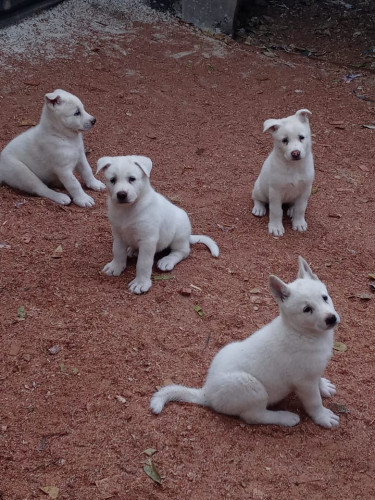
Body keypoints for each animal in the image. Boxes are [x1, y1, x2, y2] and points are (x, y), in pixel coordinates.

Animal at [97, 156, 220, 294]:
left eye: (132, 179)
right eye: (112, 180)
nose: (121, 194)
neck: (128, 209)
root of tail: (188, 236)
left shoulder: (148, 240)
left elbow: (143, 264)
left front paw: (141, 283)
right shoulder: (118, 234)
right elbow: (118, 252)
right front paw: (115, 267)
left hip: (179, 236)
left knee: (183, 251)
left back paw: (167, 260)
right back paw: (133, 250)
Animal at [151, 258, 342, 430]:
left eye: (325, 297)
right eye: (307, 309)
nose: (331, 318)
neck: (302, 332)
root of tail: (206, 392)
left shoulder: (313, 371)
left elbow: (318, 381)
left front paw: (324, 386)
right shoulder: (304, 382)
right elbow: (314, 402)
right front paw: (323, 417)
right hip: (252, 387)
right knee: (254, 416)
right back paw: (285, 417)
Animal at [251, 108, 316, 236]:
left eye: (301, 137)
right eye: (284, 140)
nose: (295, 153)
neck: (294, 167)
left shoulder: (305, 189)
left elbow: (301, 208)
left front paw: (299, 223)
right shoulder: (275, 192)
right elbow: (276, 211)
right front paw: (276, 227)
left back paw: (291, 209)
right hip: (260, 189)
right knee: (257, 197)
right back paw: (259, 208)